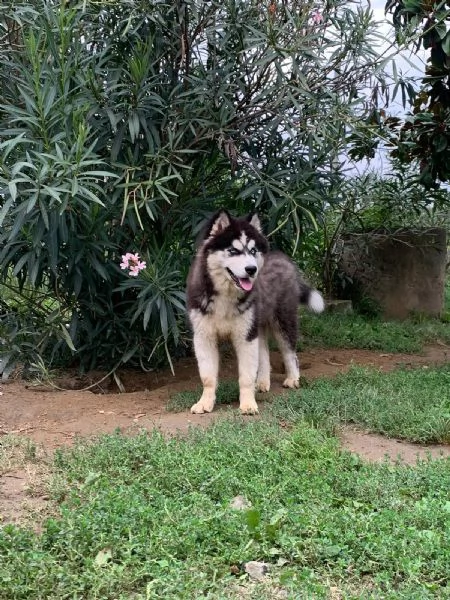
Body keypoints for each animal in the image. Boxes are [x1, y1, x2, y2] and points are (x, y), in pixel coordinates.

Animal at [185, 209, 326, 414]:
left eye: (252, 251)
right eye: (233, 251)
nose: (252, 269)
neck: (226, 295)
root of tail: (284, 259)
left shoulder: (246, 336)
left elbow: (246, 376)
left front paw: (248, 404)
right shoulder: (204, 336)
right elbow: (208, 376)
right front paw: (205, 402)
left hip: (283, 320)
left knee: (290, 352)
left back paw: (292, 378)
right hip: (258, 324)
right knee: (264, 353)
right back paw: (262, 382)